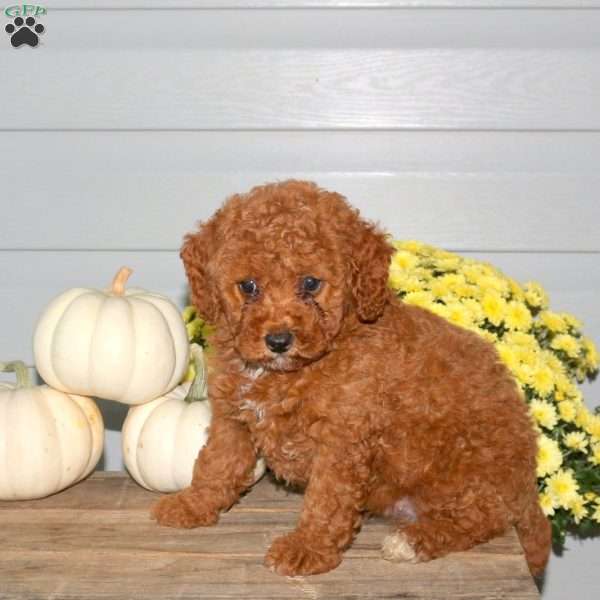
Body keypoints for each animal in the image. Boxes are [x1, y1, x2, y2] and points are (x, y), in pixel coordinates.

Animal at [150, 179, 548, 576]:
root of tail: (528, 485)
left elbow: (327, 499)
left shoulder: (342, 439)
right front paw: (192, 504)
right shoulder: (233, 418)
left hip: (470, 465)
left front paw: (307, 547)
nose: (278, 340)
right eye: (248, 286)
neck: (291, 373)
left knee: (483, 516)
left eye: (311, 283)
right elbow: (216, 464)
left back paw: (411, 541)